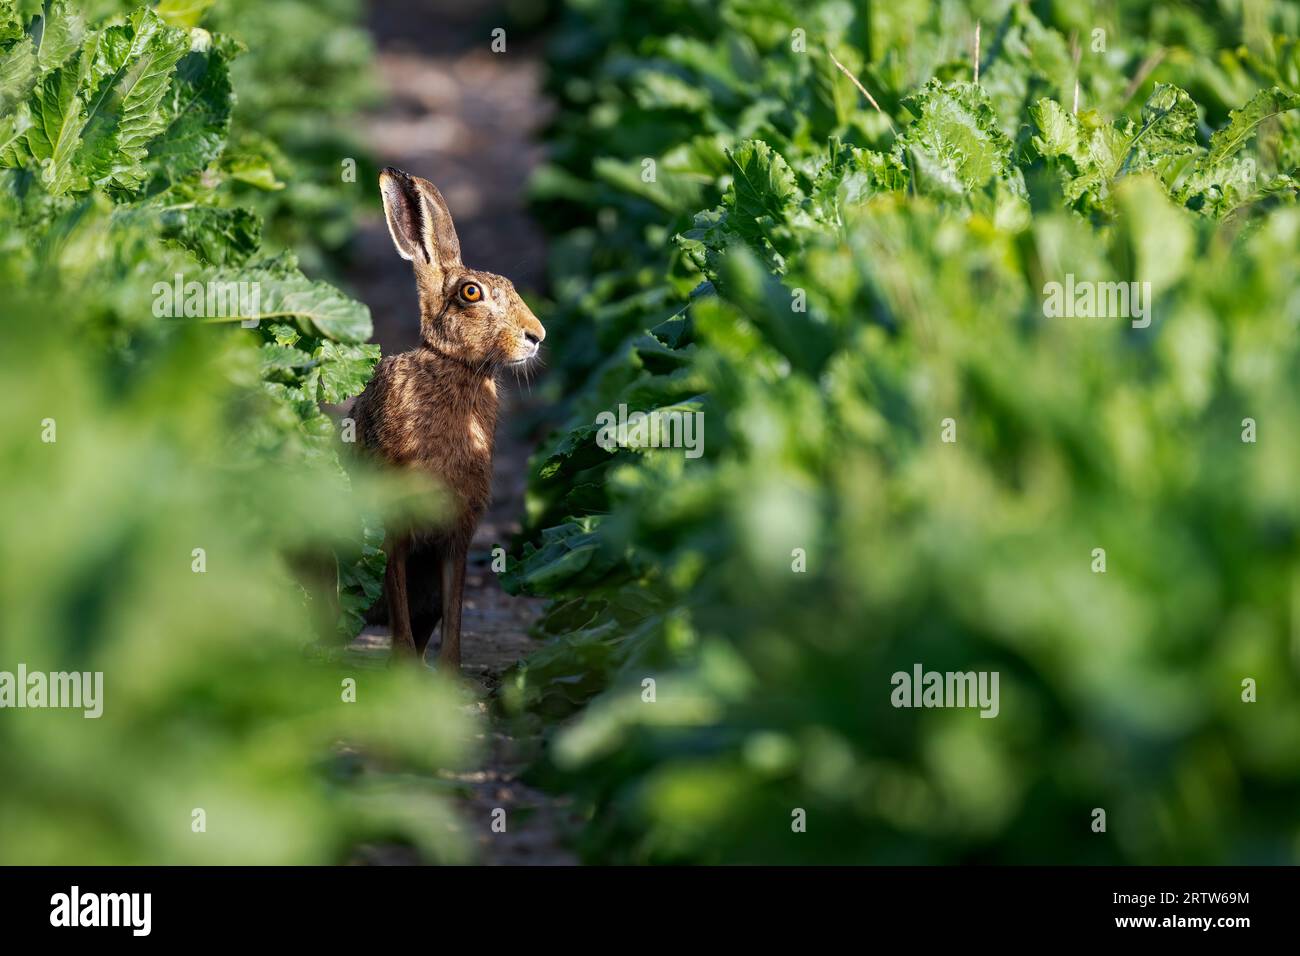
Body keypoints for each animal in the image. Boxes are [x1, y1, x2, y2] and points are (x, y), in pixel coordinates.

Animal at [351, 167, 545, 671]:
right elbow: (398, 606)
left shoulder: (457, 536)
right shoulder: (395, 528)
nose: (536, 336)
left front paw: (450, 676)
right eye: (470, 293)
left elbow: (455, 613)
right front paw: (402, 672)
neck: (454, 366)